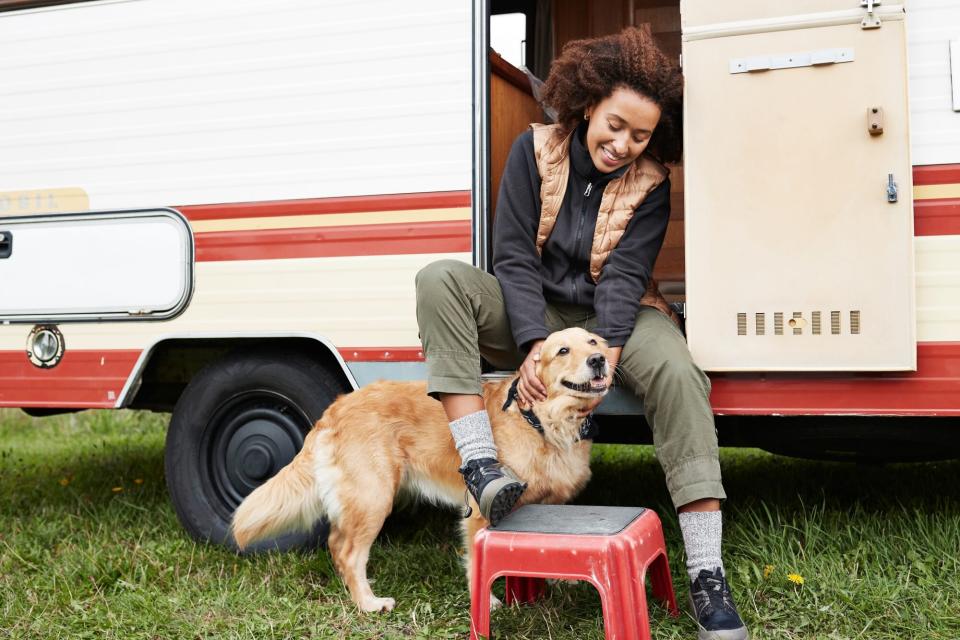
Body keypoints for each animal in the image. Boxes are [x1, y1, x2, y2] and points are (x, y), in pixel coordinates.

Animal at [229, 328, 612, 612]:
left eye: (593, 342)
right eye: (563, 350)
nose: (599, 360)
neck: (543, 420)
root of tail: (336, 407)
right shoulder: (480, 513)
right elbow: (477, 563)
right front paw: (487, 601)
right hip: (373, 497)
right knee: (346, 551)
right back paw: (368, 603)